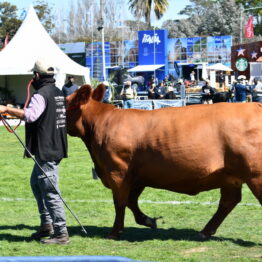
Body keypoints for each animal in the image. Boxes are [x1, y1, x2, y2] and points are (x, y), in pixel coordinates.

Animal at [66, 84, 262, 239]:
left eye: (66, 103)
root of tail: (256, 105)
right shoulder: (137, 175)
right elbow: (131, 201)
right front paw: (148, 221)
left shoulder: (117, 171)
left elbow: (120, 202)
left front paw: (115, 232)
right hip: (230, 175)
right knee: (228, 201)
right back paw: (205, 231)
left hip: (254, 174)